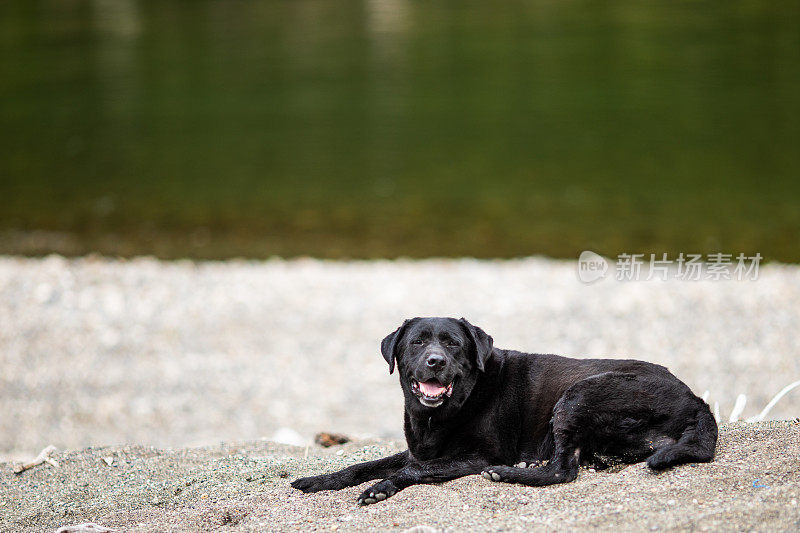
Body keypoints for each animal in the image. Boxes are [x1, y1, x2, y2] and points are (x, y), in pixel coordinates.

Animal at [290, 316, 716, 502]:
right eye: (416, 342)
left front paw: (381, 488)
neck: (442, 414)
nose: (435, 361)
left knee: (563, 471)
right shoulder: (416, 450)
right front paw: (318, 480)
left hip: (578, 394)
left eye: (453, 343)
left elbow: (410, 471)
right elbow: (360, 465)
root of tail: (696, 399)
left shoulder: (476, 456)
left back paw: (512, 472)